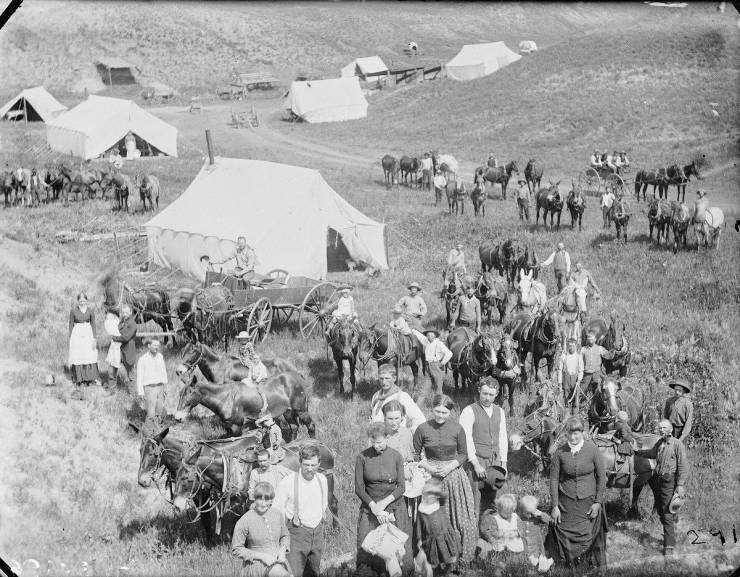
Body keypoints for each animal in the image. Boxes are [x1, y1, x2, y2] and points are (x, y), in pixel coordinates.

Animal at [176, 342, 316, 436]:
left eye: (192, 352)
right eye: (182, 352)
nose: (179, 371)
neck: (220, 366)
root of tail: (294, 370)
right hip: (288, 410)